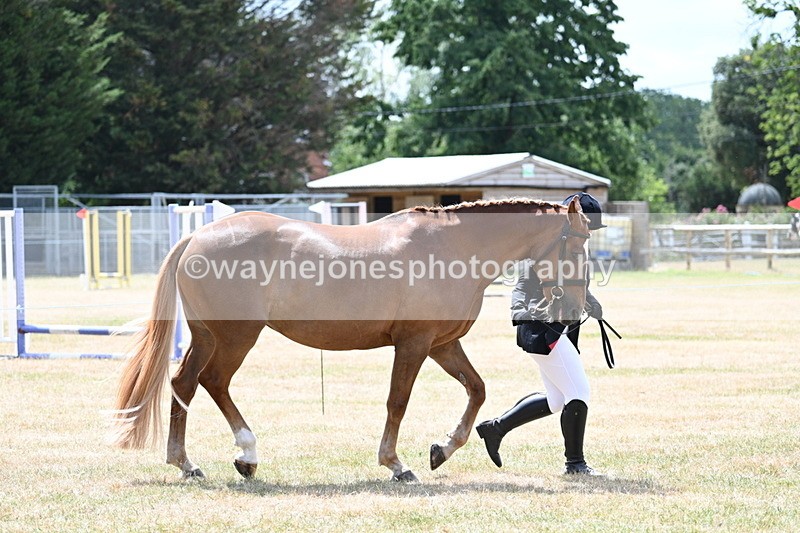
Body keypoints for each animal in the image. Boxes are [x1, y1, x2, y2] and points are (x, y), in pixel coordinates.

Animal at [110, 196, 592, 482]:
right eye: (578, 245)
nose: (574, 312)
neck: (450, 248)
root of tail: (196, 235)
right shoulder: (414, 344)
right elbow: (398, 401)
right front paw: (396, 464)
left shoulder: (441, 344)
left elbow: (477, 389)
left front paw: (442, 448)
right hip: (236, 337)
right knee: (214, 383)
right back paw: (246, 454)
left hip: (208, 336)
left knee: (185, 384)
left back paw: (186, 463)